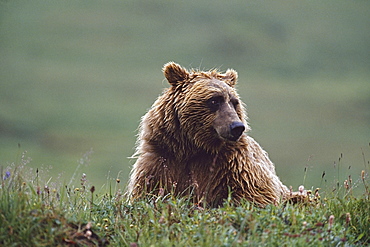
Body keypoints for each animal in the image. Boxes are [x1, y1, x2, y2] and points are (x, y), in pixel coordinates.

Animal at [127, 61, 298, 206]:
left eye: (234, 102)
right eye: (215, 100)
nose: (237, 127)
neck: (193, 147)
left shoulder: (233, 165)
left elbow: (254, 194)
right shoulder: (161, 160)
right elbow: (149, 191)